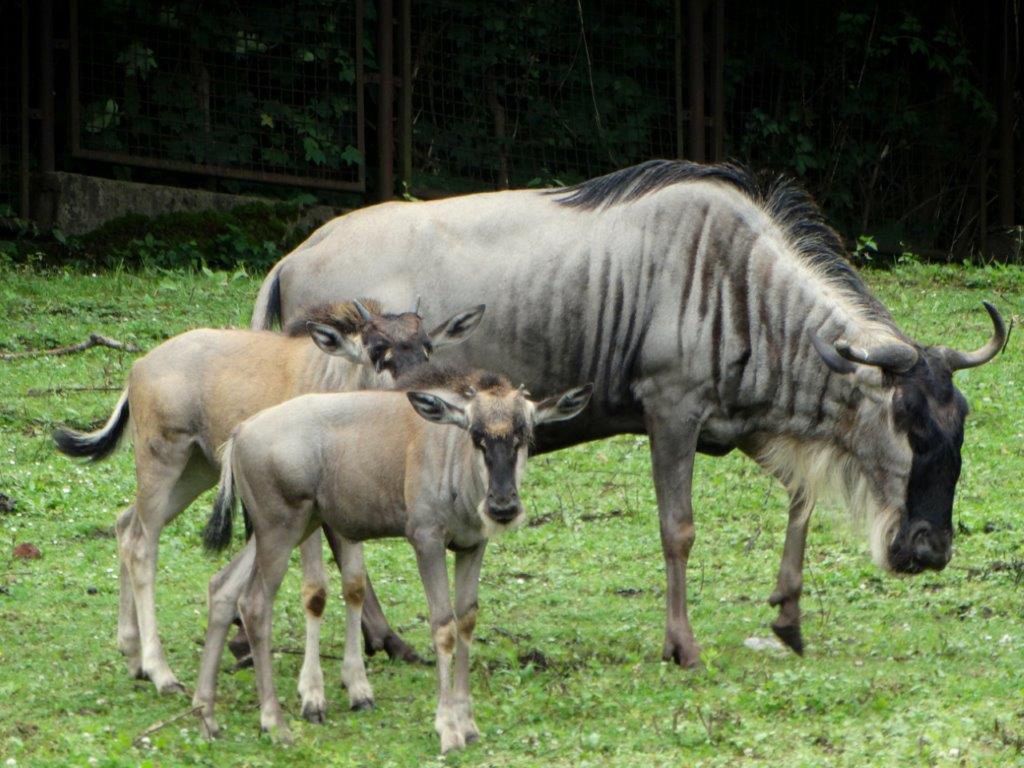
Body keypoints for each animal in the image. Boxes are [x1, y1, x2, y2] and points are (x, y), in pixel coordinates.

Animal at [194, 366, 593, 753]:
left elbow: (466, 621)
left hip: (293, 528)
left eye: (523, 435)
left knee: (222, 587)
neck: (450, 453)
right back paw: (275, 724)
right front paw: (448, 729)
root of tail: (241, 432)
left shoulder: (471, 546)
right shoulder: (427, 542)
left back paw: (207, 716)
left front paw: (468, 724)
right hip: (280, 531)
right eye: (476, 435)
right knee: (255, 604)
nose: (503, 506)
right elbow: (443, 626)